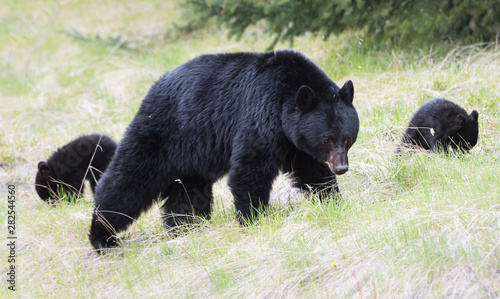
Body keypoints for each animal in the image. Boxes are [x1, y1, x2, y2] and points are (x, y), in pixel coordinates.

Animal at [89, 50, 360, 252]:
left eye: (347, 138)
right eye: (326, 139)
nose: (342, 167)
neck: (285, 96)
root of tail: (152, 89)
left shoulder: (294, 141)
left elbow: (310, 170)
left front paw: (332, 198)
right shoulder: (261, 112)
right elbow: (250, 168)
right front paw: (254, 218)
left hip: (191, 157)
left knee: (187, 195)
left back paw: (185, 227)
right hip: (160, 134)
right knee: (128, 180)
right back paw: (102, 236)